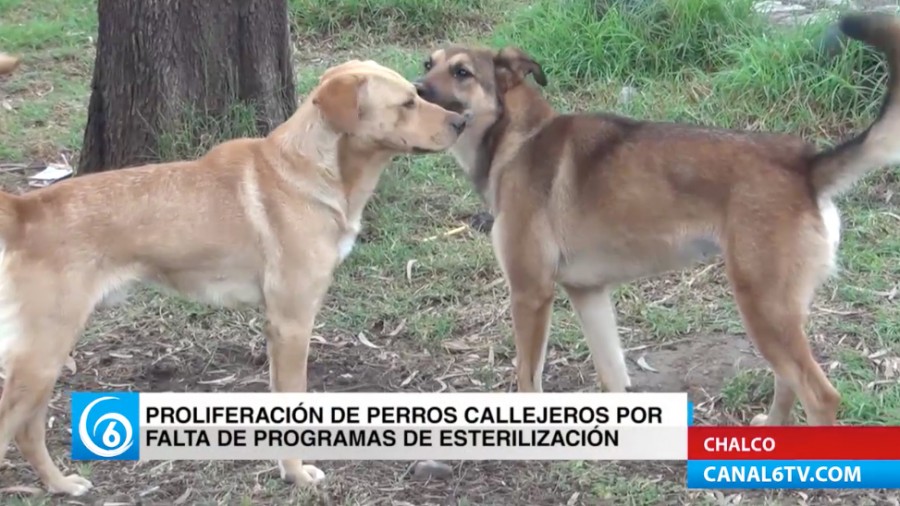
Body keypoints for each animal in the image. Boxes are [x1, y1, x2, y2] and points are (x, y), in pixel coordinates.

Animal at [0, 58, 464, 494]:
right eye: (407, 103)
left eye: (418, 93)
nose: (462, 122)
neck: (311, 170)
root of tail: (26, 210)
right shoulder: (292, 325)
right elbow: (292, 406)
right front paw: (297, 474)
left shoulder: (277, 327)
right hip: (43, 355)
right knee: (14, 427)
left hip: (47, 357)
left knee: (27, 431)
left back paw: (59, 484)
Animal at [414, 11, 900, 424]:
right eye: (427, 63)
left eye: (461, 73)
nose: (416, 89)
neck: (518, 137)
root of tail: (805, 167)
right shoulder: (588, 293)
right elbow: (612, 376)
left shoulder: (530, 293)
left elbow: (526, 379)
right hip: (778, 311)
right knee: (788, 379)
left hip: (763, 306)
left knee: (820, 395)